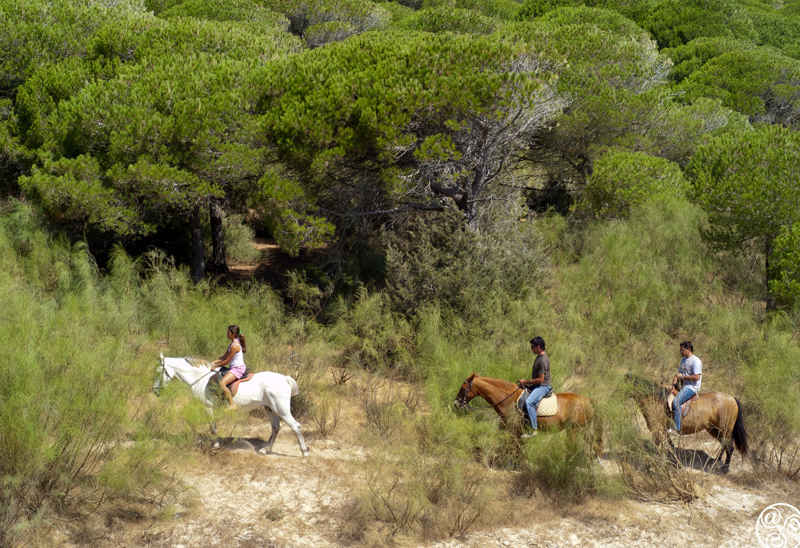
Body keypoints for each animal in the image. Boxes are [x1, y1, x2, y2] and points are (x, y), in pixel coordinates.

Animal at [154, 354, 309, 457]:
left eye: (159, 372)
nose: (155, 390)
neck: (200, 380)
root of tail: (284, 378)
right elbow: (212, 427)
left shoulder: (208, 408)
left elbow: (213, 429)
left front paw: (216, 446)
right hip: (270, 409)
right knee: (276, 428)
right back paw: (266, 449)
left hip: (281, 409)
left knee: (296, 426)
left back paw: (304, 452)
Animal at [454, 372, 603, 457]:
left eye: (463, 387)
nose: (456, 403)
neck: (508, 399)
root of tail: (587, 400)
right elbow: (513, 448)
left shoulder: (515, 430)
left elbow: (515, 449)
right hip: (581, 430)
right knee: (595, 445)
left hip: (573, 430)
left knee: (573, 450)